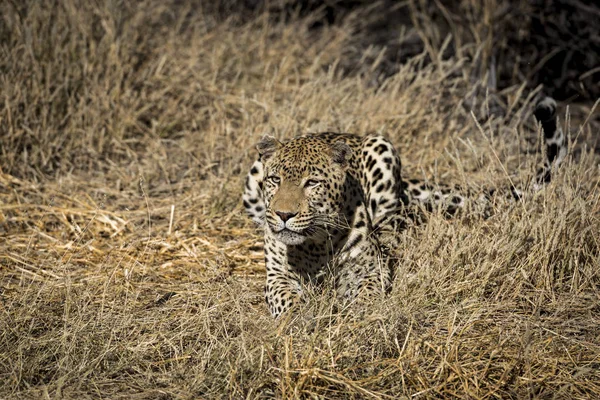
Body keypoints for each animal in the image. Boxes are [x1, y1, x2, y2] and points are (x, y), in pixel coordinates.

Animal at [241, 97, 564, 318]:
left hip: (382, 148)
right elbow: (288, 299)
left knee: (392, 226)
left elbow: (367, 293)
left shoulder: (370, 268)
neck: (315, 244)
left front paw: (360, 316)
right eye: (275, 179)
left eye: (312, 183)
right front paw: (300, 318)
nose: (284, 214)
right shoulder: (278, 275)